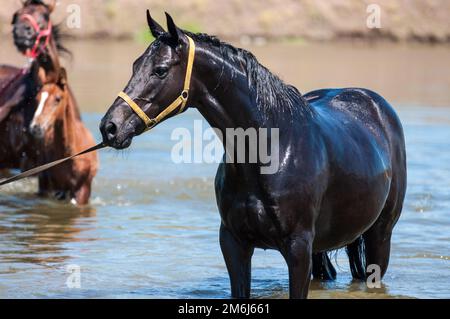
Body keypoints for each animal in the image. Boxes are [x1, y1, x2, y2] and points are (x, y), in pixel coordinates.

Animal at [99, 10, 408, 300]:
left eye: (160, 70)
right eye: (135, 65)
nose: (110, 127)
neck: (269, 150)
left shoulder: (297, 248)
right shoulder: (234, 244)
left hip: (379, 236)